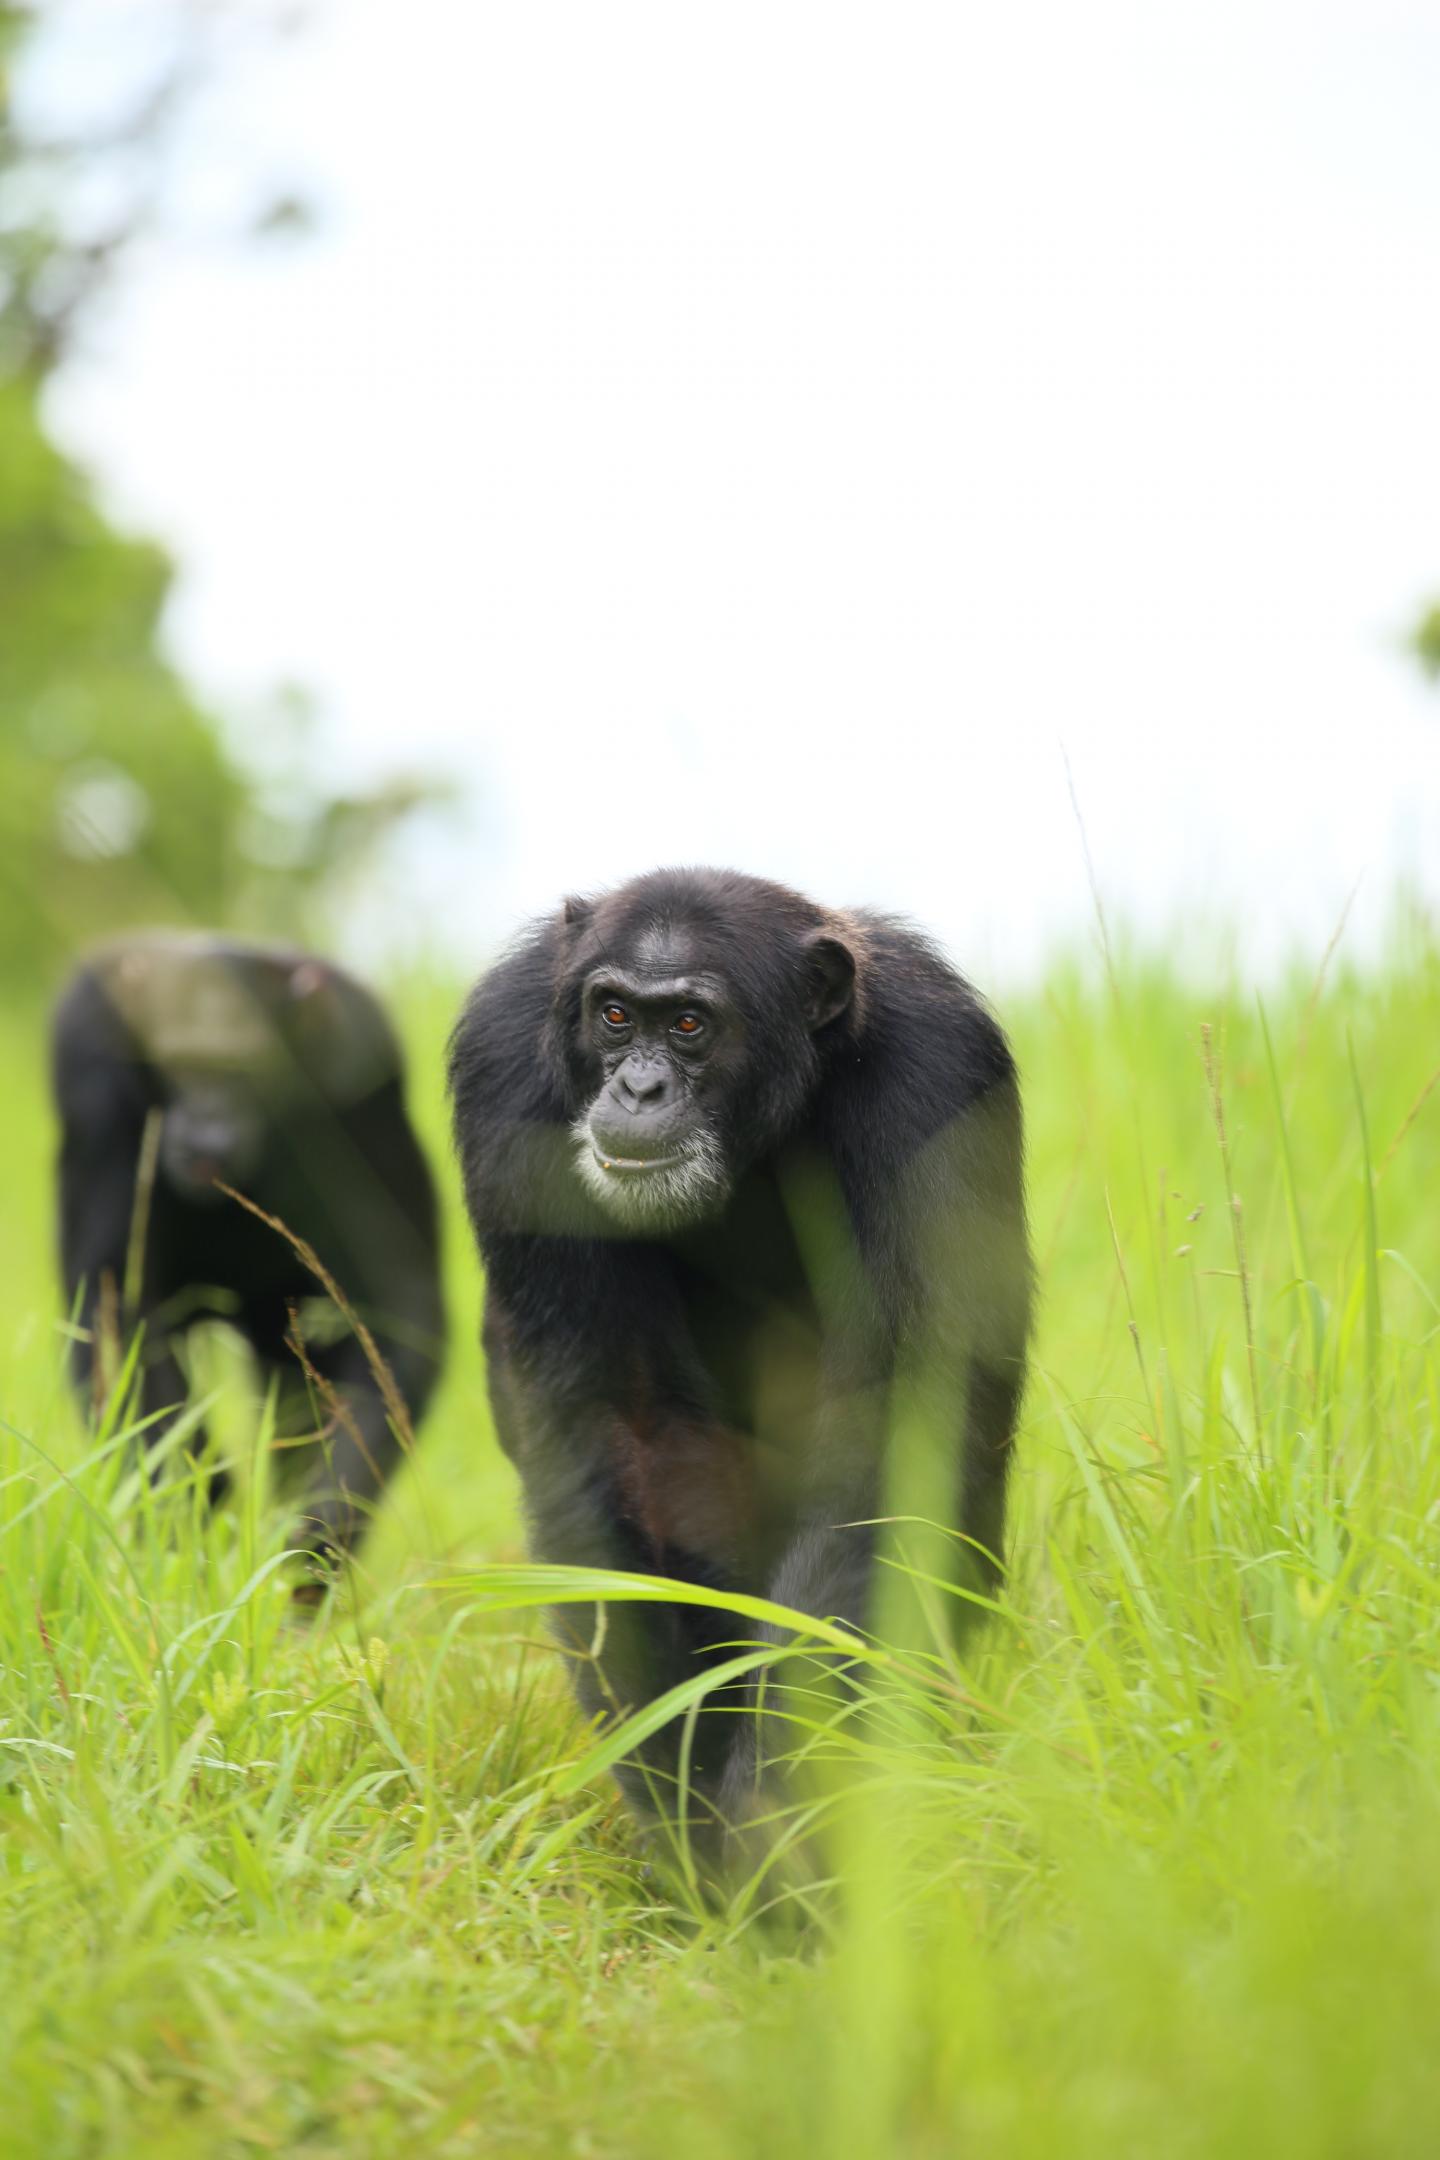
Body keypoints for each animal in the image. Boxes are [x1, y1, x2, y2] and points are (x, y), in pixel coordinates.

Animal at [55, 933, 444, 1555]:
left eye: (246, 1067)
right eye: (181, 1064)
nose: (207, 1122)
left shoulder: (364, 1082)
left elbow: (391, 1308)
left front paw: (320, 1520)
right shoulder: (89, 1068)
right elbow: (116, 1301)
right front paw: (186, 1501)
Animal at [444, 868, 1031, 1848]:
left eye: (689, 1024)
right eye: (614, 1015)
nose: (639, 1087)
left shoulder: (938, 1066)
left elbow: (897, 1417)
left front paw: (776, 1816)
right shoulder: (503, 1066)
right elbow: (624, 1423)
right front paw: (684, 1809)